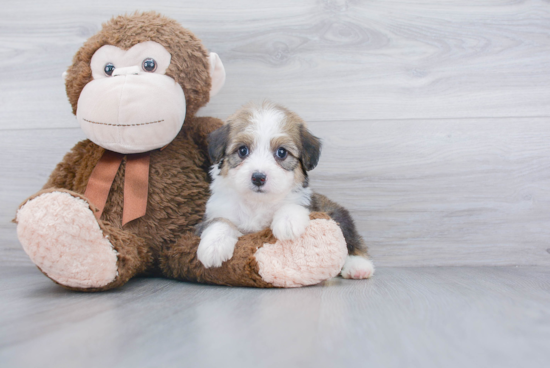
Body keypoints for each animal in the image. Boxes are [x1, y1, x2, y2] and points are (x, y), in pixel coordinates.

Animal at [197, 100, 376, 278]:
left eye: (281, 152)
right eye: (242, 150)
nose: (258, 177)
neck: (257, 203)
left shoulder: (307, 203)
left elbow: (291, 205)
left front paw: (287, 222)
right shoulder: (216, 211)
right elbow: (219, 221)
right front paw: (214, 245)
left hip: (337, 214)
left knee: (351, 239)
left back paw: (358, 266)